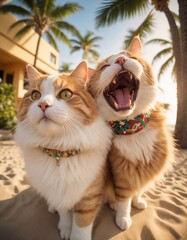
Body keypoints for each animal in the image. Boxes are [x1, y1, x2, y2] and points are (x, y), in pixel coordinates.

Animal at [15, 62, 112, 240]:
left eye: (66, 94)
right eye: (35, 95)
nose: (43, 105)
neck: (59, 151)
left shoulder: (90, 195)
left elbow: (81, 226)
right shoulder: (57, 190)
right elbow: (64, 211)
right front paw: (66, 227)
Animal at [87, 37, 175, 231]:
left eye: (132, 58)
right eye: (105, 66)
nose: (121, 60)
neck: (132, 127)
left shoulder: (147, 167)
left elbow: (139, 189)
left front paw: (138, 200)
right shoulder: (122, 173)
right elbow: (124, 200)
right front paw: (123, 217)